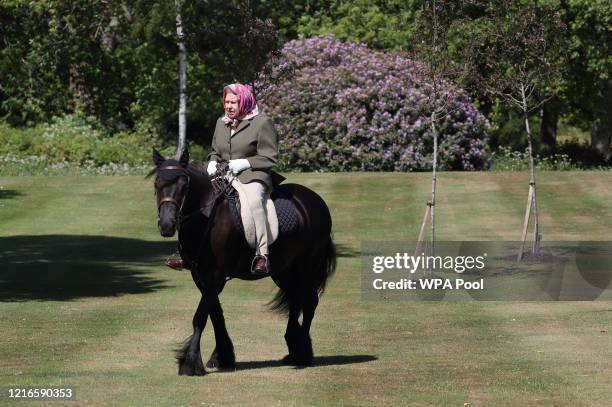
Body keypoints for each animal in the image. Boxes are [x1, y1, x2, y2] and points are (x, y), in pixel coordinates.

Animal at [151, 147, 338, 376]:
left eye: (184, 185)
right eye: (157, 184)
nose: (167, 225)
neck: (207, 217)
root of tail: (314, 200)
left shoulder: (216, 275)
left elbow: (201, 316)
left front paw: (190, 362)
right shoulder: (200, 275)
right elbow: (215, 314)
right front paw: (222, 357)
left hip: (307, 266)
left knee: (310, 301)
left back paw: (302, 353)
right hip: (284, 270)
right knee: (296, 299)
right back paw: (294, 350)